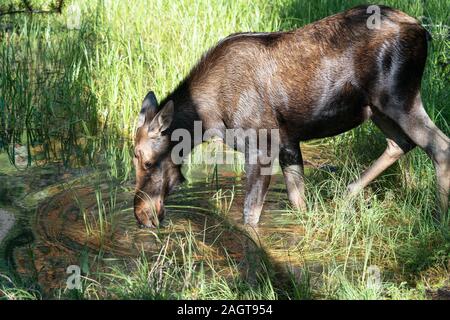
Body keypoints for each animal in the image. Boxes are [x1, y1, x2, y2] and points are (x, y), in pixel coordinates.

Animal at [134, 5, 450, 230]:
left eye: (148, 161)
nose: (140, 214)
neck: (209, 119)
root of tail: (423, 31)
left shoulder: (262, 146)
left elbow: (250, 215)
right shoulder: (288, 143)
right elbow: (299, 202)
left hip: (399, 98)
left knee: (439, 146)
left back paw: (438, 219)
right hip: (377, 109)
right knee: (401, 143)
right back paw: (346, 194)